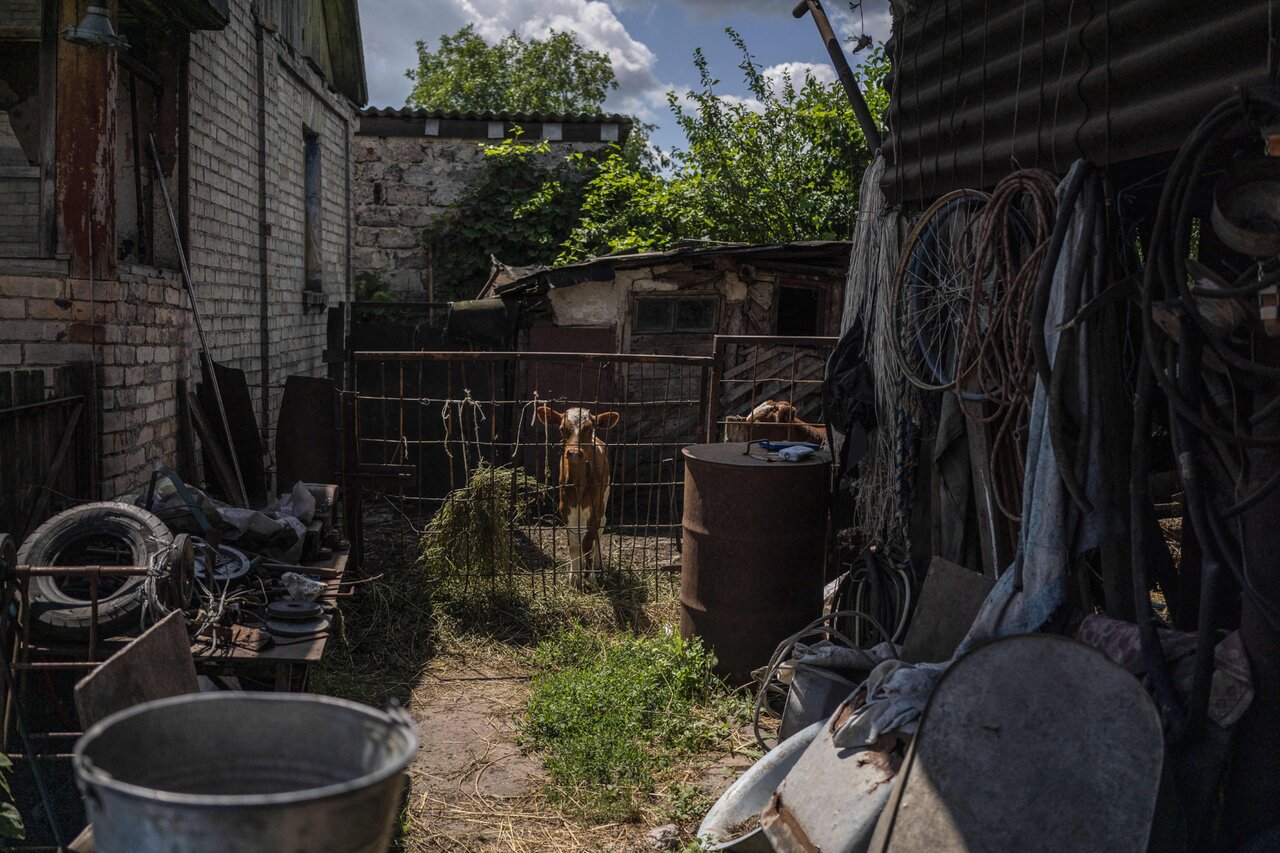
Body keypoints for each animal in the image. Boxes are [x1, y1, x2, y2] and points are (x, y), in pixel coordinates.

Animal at [535, 404, 619, 584]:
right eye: (562, 429)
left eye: (589, 428)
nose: (573, 453)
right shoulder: (565, 508)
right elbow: (574, 545)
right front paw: (574, 577)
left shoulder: (595, 510)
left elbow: (589, 544)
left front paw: (590, 577)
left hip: (605, 498)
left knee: (600, 529)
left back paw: (597, 564)